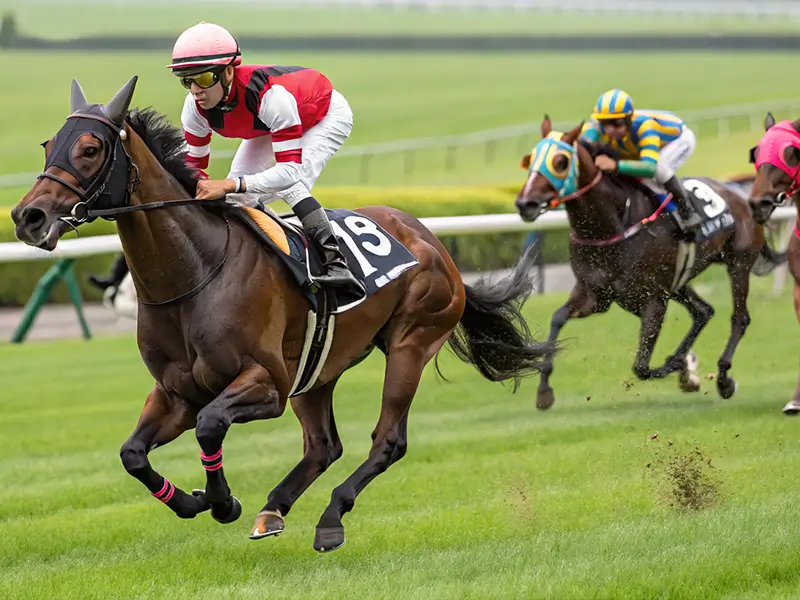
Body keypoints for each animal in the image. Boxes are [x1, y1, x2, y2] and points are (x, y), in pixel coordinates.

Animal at [10, 76, 553, 552]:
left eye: (90, 148)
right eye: (47, 145)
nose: (27, 217)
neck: (194, 275)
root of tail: (431, 240)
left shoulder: (266, 383)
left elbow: (210, 424)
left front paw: (221, 501)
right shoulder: (175, 392)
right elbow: (132, 454)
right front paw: (192, 501)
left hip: (411, 343)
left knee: (387, 441)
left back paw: (330, 518)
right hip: (319, 366)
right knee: (323, 446)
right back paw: (273, 509)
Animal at [513, 115, 785, 410]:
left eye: (561, 162)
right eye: (530, 159)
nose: (525, 203)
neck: (610, 226)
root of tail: (742, 195)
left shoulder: (653, 300)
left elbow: (641, 367)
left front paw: (685, 370)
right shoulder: (595, 295)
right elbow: (557, 318)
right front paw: (544, 391)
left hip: (738, 264)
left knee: (739, 318)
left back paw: (723, 379)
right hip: (677, 282)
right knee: (703, 311)